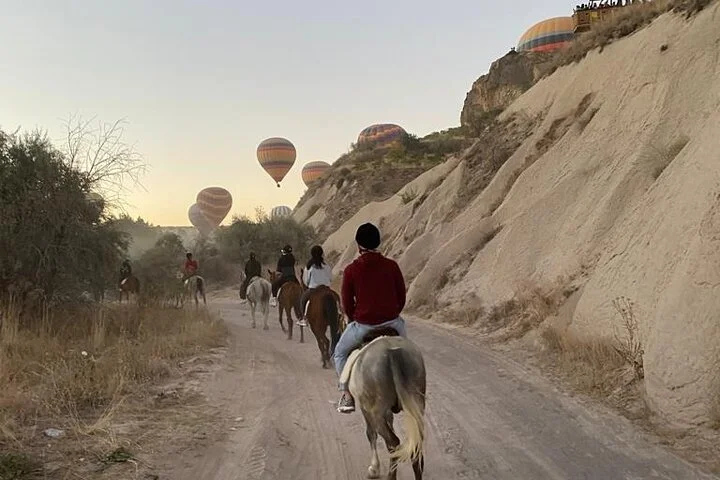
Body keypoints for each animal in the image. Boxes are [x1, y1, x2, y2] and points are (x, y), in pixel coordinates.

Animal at [341, 328, 427, 479]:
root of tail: (392, 352)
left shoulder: (365, 409)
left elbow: (370, 434)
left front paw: (374, 469)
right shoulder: (388, 411)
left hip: (375, 412)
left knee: (393, 442)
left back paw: (390, 475)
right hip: (417, 404)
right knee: (416, 443)